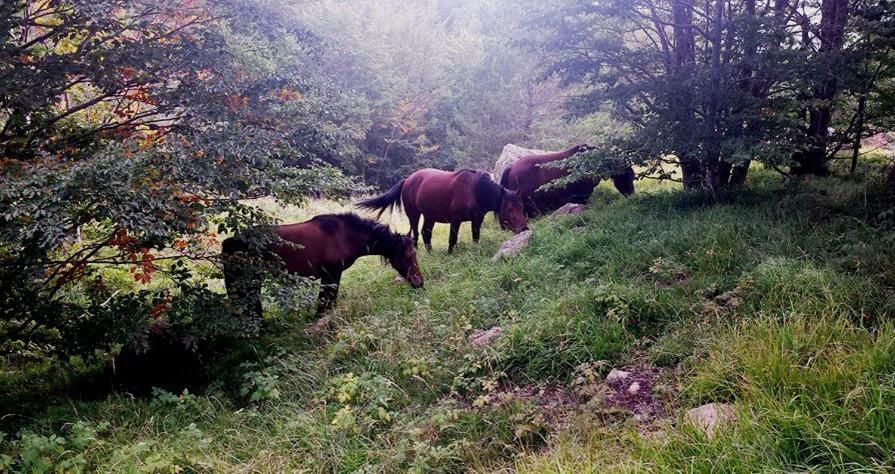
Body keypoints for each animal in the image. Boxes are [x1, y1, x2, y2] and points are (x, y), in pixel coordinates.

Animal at [222, 214, 422, 318]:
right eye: (410, 255)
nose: (420, 282)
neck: (344, 235)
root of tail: (232, 241)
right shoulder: (331, 275)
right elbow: (326, 301)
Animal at [356, 168, 528, 254]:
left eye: (522, 206)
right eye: (509, 208)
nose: (525, 228)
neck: (475, 191)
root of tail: (407, 180)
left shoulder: (477, 219)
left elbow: (476, 237)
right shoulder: (456, 219)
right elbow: (452, 238)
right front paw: (449, 254)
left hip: (429, 216)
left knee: (426, 232)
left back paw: (430, 251)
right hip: (414, 214)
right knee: (415, 233)